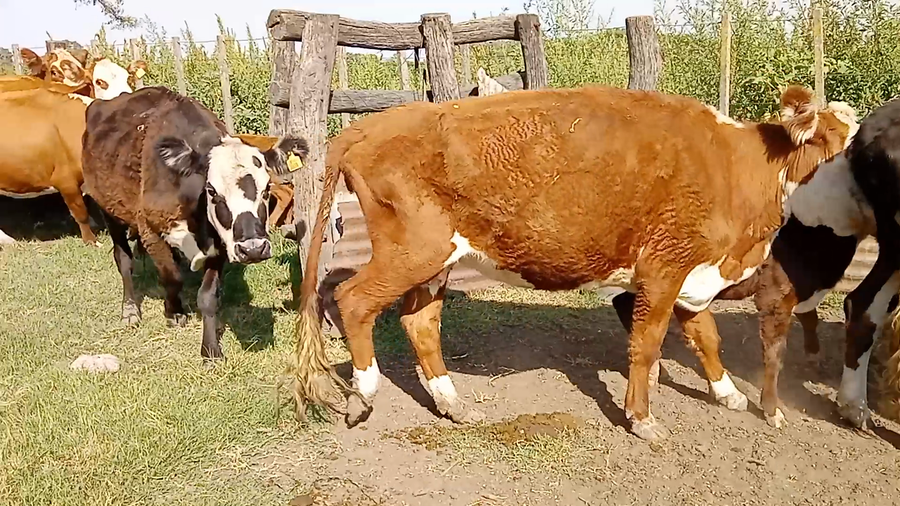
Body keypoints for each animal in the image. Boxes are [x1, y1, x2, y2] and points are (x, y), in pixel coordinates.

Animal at [81, 86, 308, 360]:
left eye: (266, 190)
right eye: (211, 190)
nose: (253, 249)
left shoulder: (221, 244)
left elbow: (208, 295)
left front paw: (210, 348)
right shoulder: (150, 230)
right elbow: (172, 277)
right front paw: (174, 311)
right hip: (108, 209)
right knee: (123, 259)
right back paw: (130, 310)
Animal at [284, 84, 856, 440]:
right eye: (841, 143)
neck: (737, 168)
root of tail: (367, 127)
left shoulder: (695, 273)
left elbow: (706, 337)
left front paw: (728, 394)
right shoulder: (663, 269)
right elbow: (647, 346)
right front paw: (641, 419)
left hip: (436, 259)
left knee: (419, 322)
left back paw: (453, 404)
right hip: (412, 250)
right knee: (352, 300)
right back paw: (365, 392)